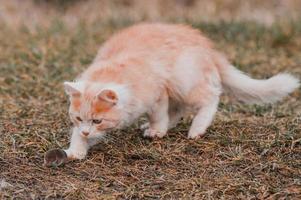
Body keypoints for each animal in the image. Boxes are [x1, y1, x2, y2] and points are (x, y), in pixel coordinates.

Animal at [42, 22, 298, 166]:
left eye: (97, 120)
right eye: (78, 118)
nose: (87, 130)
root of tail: (207, 46)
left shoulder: (157, 94)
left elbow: (158, 115)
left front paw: (157, 131)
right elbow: (78, 136)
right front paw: (75, 150)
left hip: (182, 80)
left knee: (211, 96)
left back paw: (196, 129)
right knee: (181, 108)